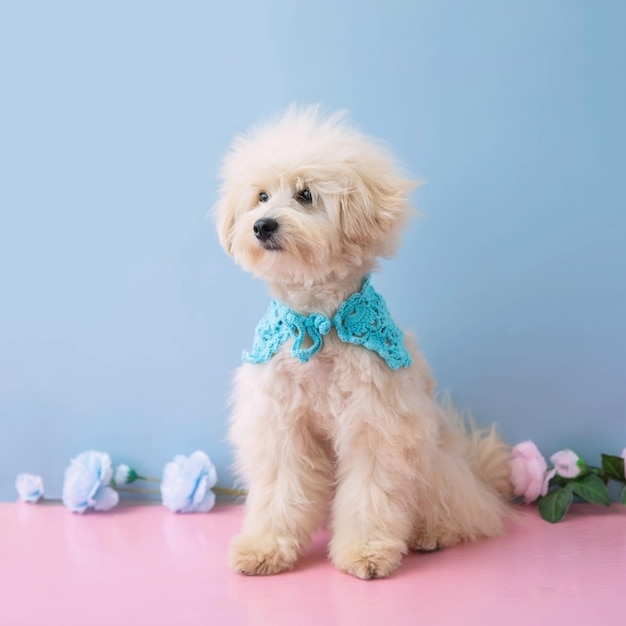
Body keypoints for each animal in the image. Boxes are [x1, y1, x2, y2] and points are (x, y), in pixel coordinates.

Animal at [212, 107, 510, 580]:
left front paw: (366, 553)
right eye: (260, 197)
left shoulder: (376, 426)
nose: (262, 226)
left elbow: (371, 495)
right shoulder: (283, 429)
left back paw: (434, 532)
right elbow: (280, 491)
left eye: (305, 195)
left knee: (463, 510)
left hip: (435, 462)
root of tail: (474, 471)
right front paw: (264, 548)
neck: (316, 320)